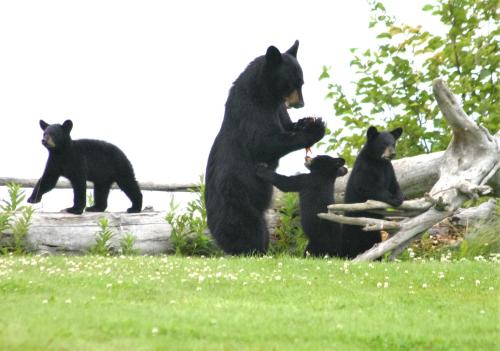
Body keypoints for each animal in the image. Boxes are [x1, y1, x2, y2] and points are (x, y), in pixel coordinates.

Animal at [205, 40, 326, 256]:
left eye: (302, 82)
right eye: (292, 83)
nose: (301, 104)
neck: (266, 95)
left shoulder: (278, 109)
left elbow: (287, 125)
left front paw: (306, 122)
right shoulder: (250, 111)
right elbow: (264, 143)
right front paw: (315, 129)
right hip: (237, 201)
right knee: (249, 228)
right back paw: (252, 250)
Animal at [342, 126, 404, 258]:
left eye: (393, 143)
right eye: (384, 143)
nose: (392, 153)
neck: (378, 161)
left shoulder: (388, 169)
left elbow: (394, 184)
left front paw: (400, 197)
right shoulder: (365, 167)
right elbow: (367, 186)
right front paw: (394, 199)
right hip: (354, 224)